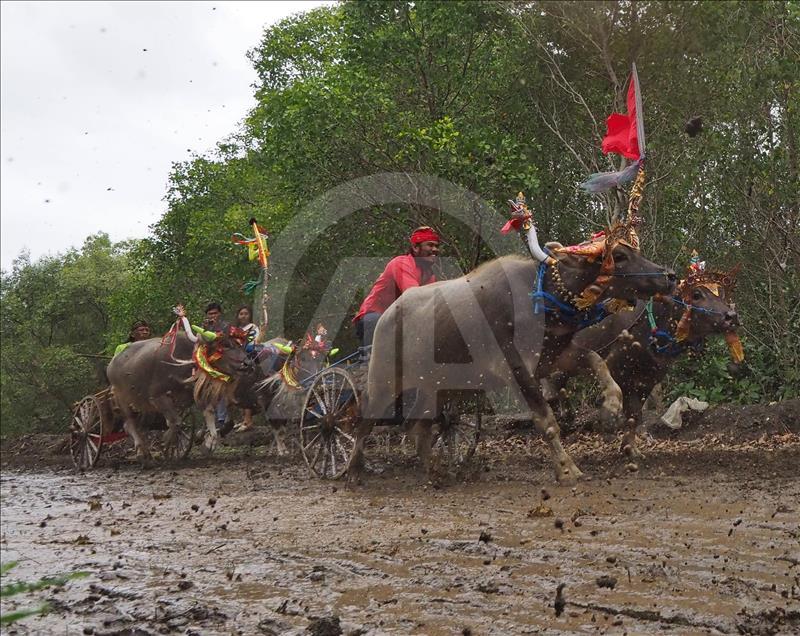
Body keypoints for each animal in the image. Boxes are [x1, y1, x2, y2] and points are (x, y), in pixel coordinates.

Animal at [354, 231, 676, 484]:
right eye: (619, 256)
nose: (669, 276)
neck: (543, 297)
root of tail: (386, 316)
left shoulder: (555, 357)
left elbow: (596, 361)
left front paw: (611, 404)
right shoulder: (518, 369)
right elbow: (547, 422)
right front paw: (567, 469)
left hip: (441, 386)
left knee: (417, 425)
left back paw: (436, 471)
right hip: (383, 379)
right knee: (366, 418)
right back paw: (354, 471)